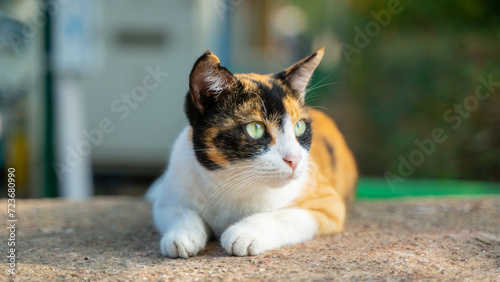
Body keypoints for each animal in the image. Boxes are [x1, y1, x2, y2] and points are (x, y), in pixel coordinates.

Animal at [146, 48, 358, 258]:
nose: (295, 159)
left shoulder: (327, 202)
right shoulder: (172, 191)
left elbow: (285, 217)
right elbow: (178, 210)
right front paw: (181, 235)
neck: (231, 183)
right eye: (256, 129)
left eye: (299, 127)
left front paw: (244, 233)